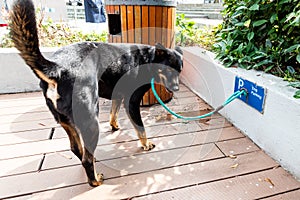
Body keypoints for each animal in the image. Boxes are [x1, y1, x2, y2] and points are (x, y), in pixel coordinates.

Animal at [9, 0, 183, 186]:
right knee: (86, 158)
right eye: (168, 70)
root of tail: (58, 68)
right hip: (91, 120)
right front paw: (146, 144)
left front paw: (114, 126)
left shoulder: (118, 96)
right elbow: (140, 128)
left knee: (78, 150)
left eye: (180, 71)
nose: (177, 88)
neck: (149, 59)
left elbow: (114, 113)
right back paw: (95, 181)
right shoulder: (132, 102)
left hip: (66, 121)